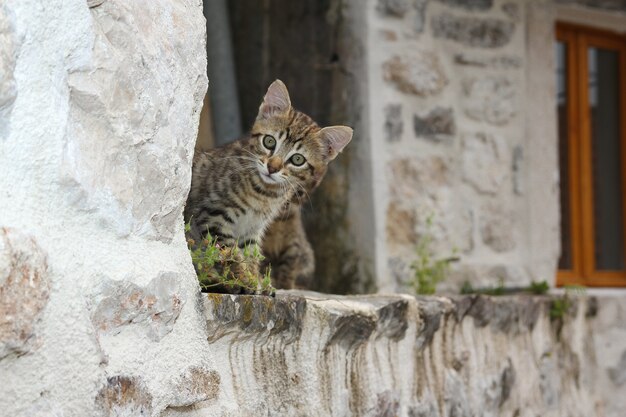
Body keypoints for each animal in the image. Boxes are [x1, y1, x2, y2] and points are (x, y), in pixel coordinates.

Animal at [184, 79, 352, 292]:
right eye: (269, 141)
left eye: (298, 159)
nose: (272, 167)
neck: (264, 194)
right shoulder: (213, 216)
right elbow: (231, 254)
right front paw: (244, 280)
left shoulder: (252, 229)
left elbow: (250, 254)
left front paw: (256, 279)